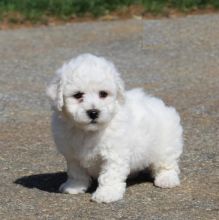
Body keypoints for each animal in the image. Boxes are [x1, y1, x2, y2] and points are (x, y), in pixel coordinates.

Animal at [46, 53, 183, 203]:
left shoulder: (114, 154)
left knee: (167, 163)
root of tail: (162, 105)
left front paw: (107, 194)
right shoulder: (72, 153)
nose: (93, 112)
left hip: (167, 143)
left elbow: (109, 175)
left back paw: (166, 179)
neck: (89, 131)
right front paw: (74, 186)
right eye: (78, 95)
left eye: (103, 94)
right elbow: (76, 172)